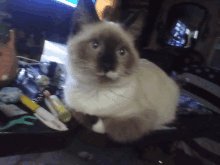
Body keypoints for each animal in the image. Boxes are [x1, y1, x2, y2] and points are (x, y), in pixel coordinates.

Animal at [64, 0, 180, 142]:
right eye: (95, 45)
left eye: (121, 52)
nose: (107, 66)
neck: (97, 91)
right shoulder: (69, 104)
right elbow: (80, 113)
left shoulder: (143, 118)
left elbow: (112, 127)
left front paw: (99, 124)